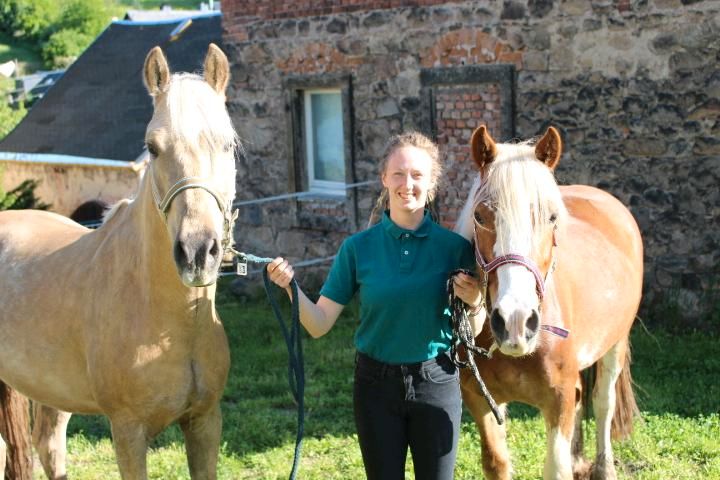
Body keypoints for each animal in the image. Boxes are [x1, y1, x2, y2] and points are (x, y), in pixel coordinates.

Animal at [0, 43, 238, 478]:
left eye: (228, 144)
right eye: (153, 148)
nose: (197, 252)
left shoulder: (204, 422)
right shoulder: (128, 431)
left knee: (48, 446)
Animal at [456, 125, 640, 478]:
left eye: (552, 217)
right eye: (480, 216)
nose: (514, 322)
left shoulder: (558, 401)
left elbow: (556, 466)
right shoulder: (480, 399)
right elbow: (496, 462)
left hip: (616, 343)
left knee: (603, 401)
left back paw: (603, 467)